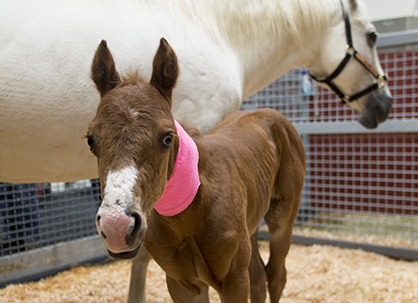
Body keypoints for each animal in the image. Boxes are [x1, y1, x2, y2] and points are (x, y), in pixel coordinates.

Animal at [0, 0, 392, 302]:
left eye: (167, 137)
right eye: (90, 140)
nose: (383, 105)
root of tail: (271, 115)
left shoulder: (230, 277)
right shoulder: (184, 282)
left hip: (283, 215)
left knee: (275, 274)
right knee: (262, 276)